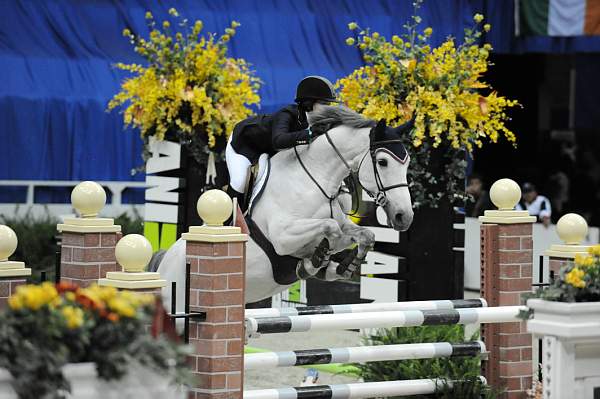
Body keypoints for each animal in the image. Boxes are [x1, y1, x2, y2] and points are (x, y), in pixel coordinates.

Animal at [157, 105, 414, 310]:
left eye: (407, 162)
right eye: (382, 162)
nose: (404, 217)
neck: (314, 179)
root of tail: (162, 266)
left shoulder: (342, 226)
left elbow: (363, 234)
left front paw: (344, 265)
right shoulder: (283, 236)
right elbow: (330, 228)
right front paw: (313, 263)